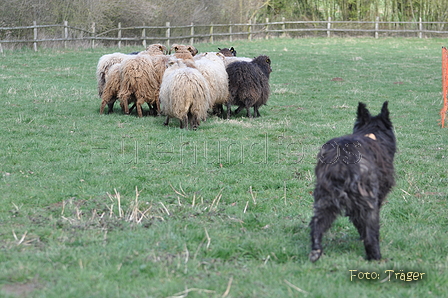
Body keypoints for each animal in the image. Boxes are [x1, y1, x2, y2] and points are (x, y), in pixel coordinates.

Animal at [308, 101, 396, 262]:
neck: (371, 133)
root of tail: (342, 160)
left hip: (325, 200)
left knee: (317, 224)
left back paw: (316, 251)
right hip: (368, 203)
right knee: (370, 233)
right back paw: (376, 257)